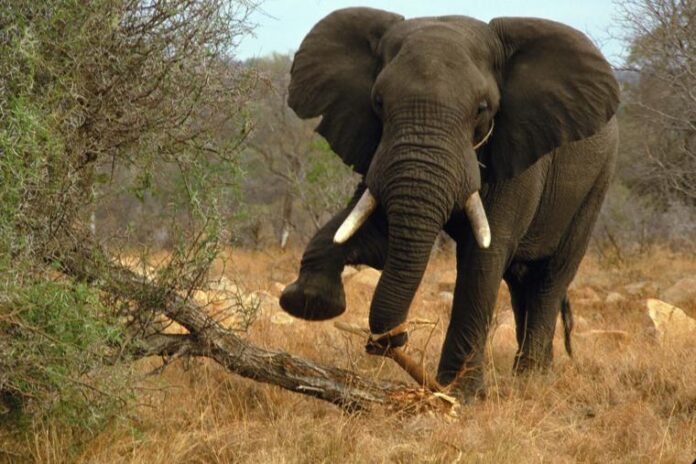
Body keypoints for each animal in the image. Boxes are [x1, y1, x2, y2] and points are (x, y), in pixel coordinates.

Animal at [279, 7, 619, 399]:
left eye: (482, 109)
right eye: (378, 103)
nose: (388, 341)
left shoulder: (519, 153)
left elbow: (483, 258)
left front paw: (460, 396)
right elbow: (371, 231)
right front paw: (310, 301)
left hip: (597, 183)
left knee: (550, 279)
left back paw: (531, 378)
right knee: (521, 283)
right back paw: (532, 373)